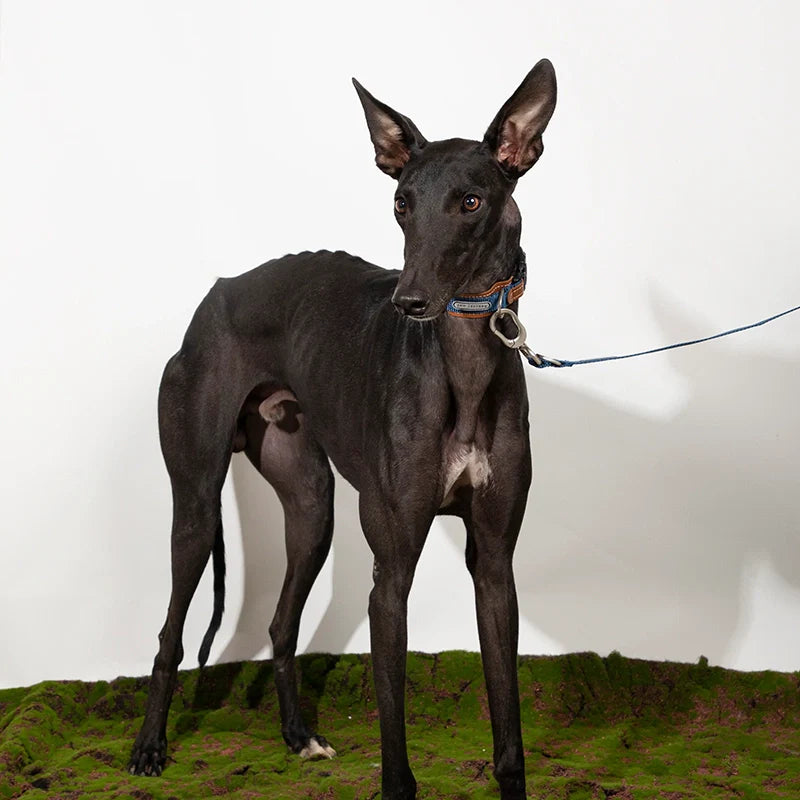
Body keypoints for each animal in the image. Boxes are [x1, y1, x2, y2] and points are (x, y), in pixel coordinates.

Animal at [130, 57, 556, 800]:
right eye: (402, 203)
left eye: (471, 201)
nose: (409, 301)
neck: (465, 364)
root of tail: (217, 291)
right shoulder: (391, 573)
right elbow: (396, 756)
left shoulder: (495, 565)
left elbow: (509, 740)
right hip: (198, 500)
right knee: (171, 634)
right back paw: (152, 748)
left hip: (313, 506)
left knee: (280, 622)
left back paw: (299, 736)